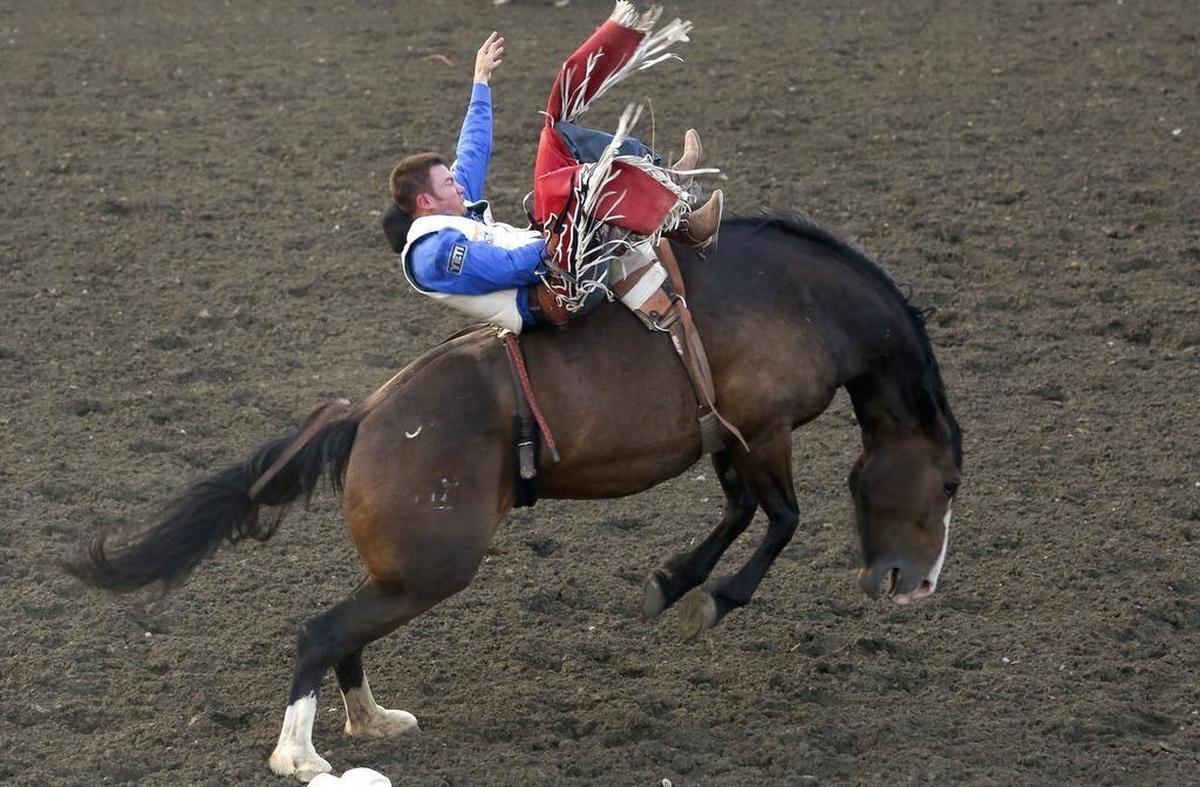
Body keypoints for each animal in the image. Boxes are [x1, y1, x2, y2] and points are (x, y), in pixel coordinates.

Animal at [65, 213, 963, 782]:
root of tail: (367, 414)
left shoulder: (728, 438)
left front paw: (672, 582)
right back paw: (300, 754)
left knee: (345, 629)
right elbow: (781, 518)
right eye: (949, 483)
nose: (919, 584)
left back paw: (371, 720)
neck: (800, 300)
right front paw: (711, 596)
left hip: (406, 572)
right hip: (433, 567)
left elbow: (743, 510)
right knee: (320, 628)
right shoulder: (762, 429)